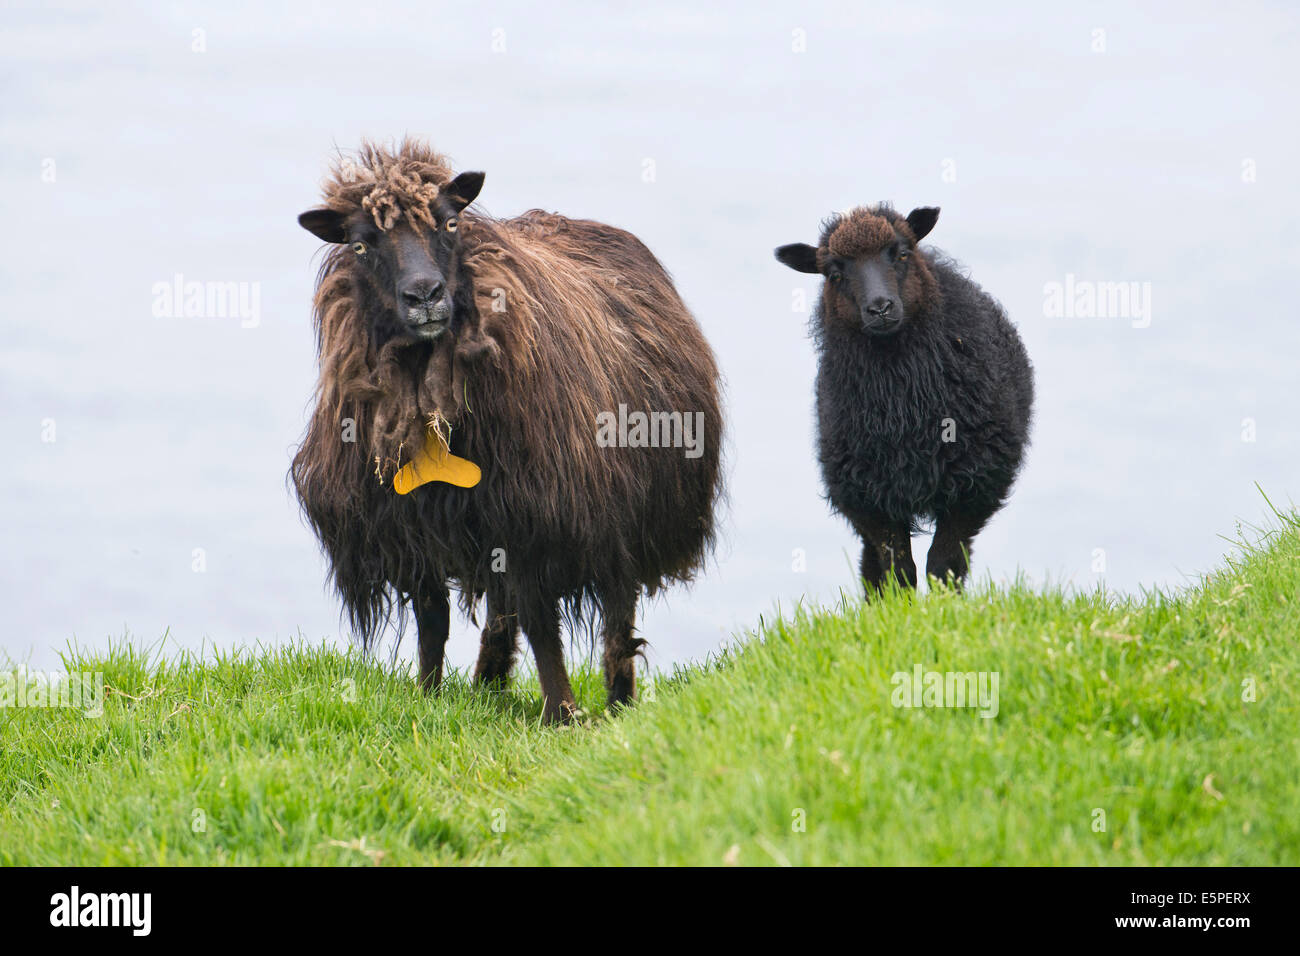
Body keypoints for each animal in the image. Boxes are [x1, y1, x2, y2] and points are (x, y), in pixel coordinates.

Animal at [289, 140, 728, 723]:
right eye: (360, 245)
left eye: (450, 223)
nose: (425, 295)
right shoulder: (412, 526)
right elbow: (433, 622)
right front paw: (427, 698)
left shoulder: (540, 522)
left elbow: (544, 627)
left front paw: (562, 714)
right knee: (502, 612)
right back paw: (486, 686)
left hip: (625, 512)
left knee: (617, 615)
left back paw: (617, 702)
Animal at [769, 205, 1034, 595]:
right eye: (834, 273)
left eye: (902, 253)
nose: (880, 307)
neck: (904, 402)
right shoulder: (871, 497)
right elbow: (898, 569)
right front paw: (901, 606)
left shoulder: (972, 486)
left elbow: (943, 563)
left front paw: (944, 605)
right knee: (871, 565)